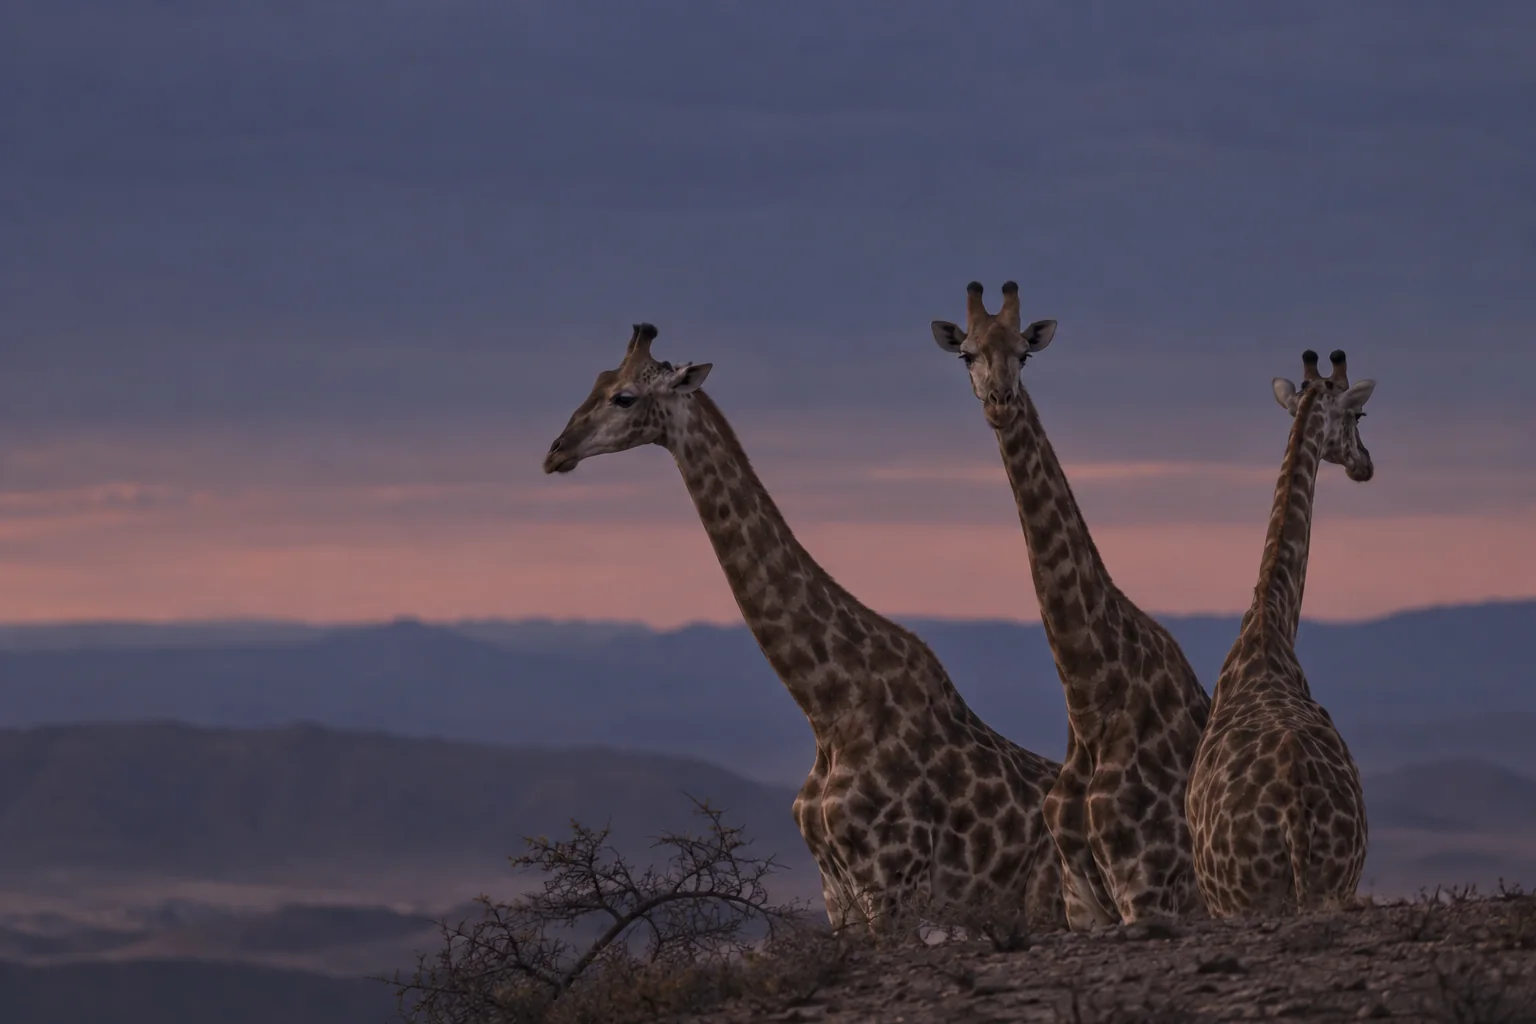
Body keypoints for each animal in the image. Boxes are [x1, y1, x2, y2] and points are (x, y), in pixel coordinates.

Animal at [542, 323, 1066, 934]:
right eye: (598, 380)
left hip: (1054, 904)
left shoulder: (894, 884)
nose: (556, 452)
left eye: (624, 397)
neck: (828, 706)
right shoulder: (838, 893)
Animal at [929, 281, 1211, 928]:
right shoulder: (1082, 901)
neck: (1089, 697)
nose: (1001, 402)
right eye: (967, 355)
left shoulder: (1147, 888)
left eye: (1025, 354)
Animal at [1186, 349, 1376, 917]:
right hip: (1318, 889)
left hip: (1249, 899)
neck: (1269, 627)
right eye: (1359, 415)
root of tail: (1293, 813)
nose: (1365, 465)